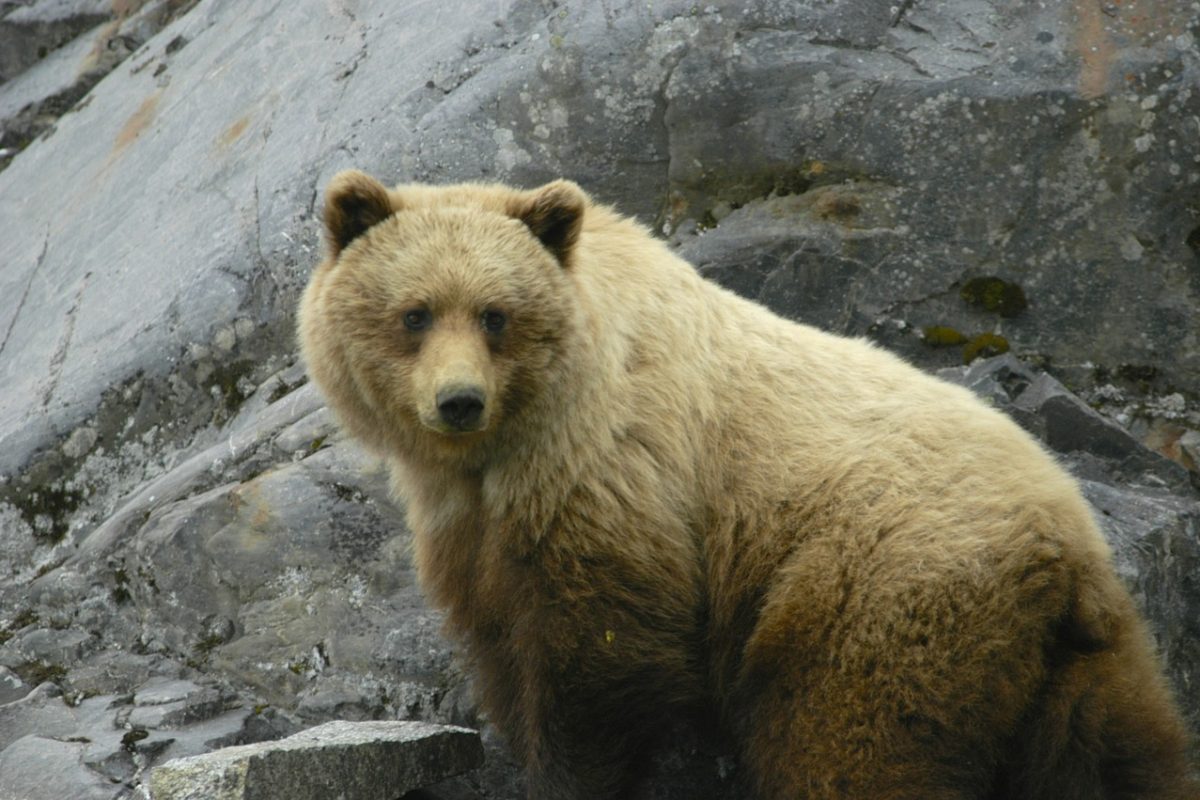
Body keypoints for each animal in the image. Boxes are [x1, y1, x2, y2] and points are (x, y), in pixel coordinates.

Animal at [295, 173, 1195, 800]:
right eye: (414, 313)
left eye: (495, 314)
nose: (458, 401)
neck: (510, 444)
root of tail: (1064, 552)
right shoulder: (474, 526)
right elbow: (500, 641)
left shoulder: (614, 480)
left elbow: (594, 665)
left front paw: (565, 774)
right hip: (1084, 667)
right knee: (1125, 759)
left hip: (875, 598)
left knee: (852, 748)